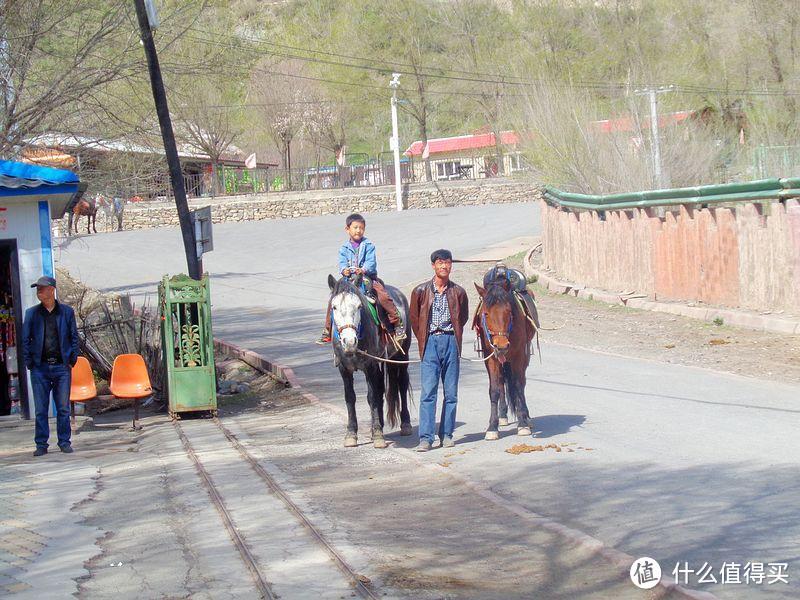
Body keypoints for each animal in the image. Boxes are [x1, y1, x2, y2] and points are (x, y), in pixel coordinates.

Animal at [326, 274, 412, 448]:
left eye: (359, 306)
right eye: (334, 307)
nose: (349, 342)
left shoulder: (370, 366)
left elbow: (372, 397)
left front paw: (378, 435)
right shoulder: (344, 369)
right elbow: (350, 397)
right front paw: (351, 434)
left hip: (401, 356)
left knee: (402, 383)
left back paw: (405, 424)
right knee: (380, 388)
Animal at [476, 268, 536, 440]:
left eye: (509, 311)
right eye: (486, 313)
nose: (501, 345)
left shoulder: (518, 356)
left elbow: (518, 385)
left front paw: (523, 424)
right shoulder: (491, 358)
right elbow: (494, 390)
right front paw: (492, 427)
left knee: (521, 382)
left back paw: (527, 417)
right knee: (502, 382)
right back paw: (502, 416)